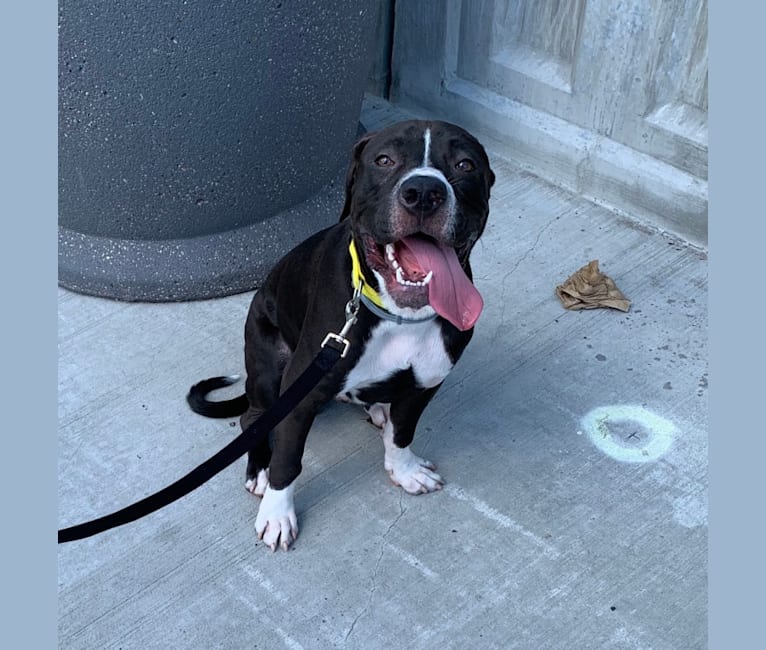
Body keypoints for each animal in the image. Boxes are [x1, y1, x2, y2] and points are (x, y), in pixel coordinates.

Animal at [189, 119, 496, 548]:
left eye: (465, 164)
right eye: (384, 160)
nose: (423, 193)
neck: (399, 315)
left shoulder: (426, 384)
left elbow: (403, 434)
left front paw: (404, 470)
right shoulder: (300, 396)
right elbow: (288, 461)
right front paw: (277, 512)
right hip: (268, 367)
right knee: (252, 419)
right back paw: (260, 470)